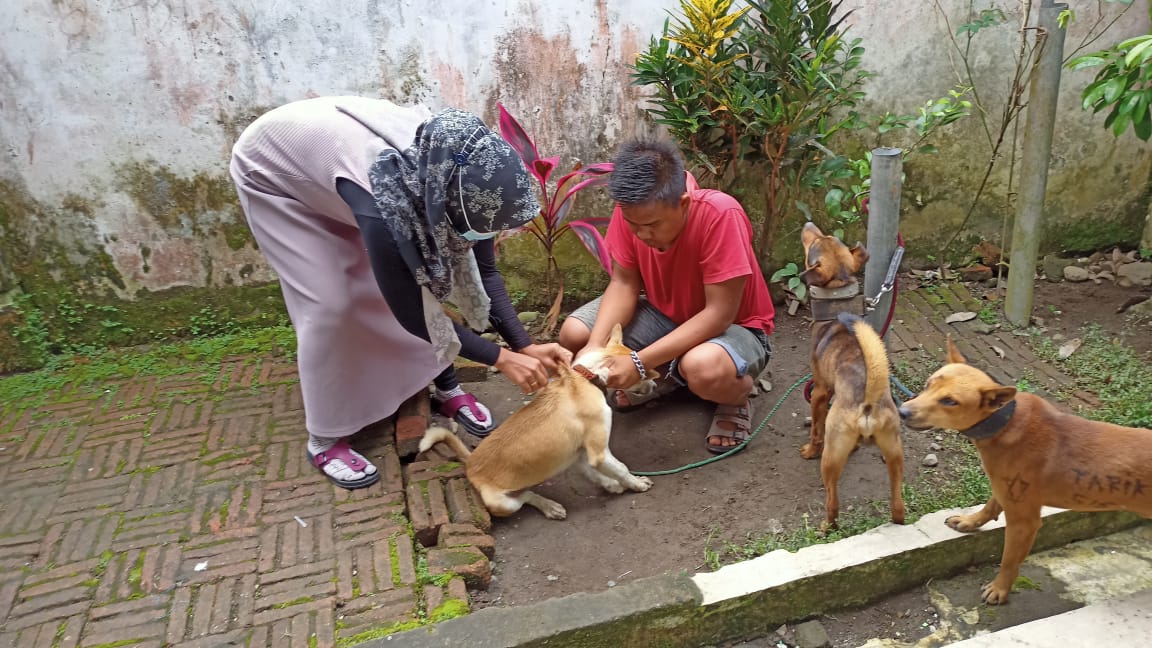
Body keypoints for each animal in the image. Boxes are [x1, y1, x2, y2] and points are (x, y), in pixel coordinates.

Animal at [423, 322, 658, 518]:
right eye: (641, 375)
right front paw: (636, 484)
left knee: (525, 494)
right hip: (502, 504)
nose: (655, 386)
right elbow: (621, 468)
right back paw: (550, 507)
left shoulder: (581, 454)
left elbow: (596, 474)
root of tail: (470, 463)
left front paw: (611, 484)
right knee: (526, 497)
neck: (585, 377)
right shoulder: (598, 453)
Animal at [797, 219, 903, 528]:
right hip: (895, 454)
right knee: (898, 504)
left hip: (831, 459)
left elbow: (816, 429)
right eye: (827, 236)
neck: (837, 309)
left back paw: (826, 526)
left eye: (815, 242)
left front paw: (809, 450)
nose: (809, 222)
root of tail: (868, 402)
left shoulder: (820, 391)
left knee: (832, 501)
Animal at [898, 334, 1152, 604]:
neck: (1003, 423)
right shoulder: (1005, 488)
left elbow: (1009, 561)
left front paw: (1000, 589)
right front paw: (970, 521)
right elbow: (990, 506)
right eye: (928, 384)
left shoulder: (1024, 521)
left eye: (950, 401)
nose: (902, 411)